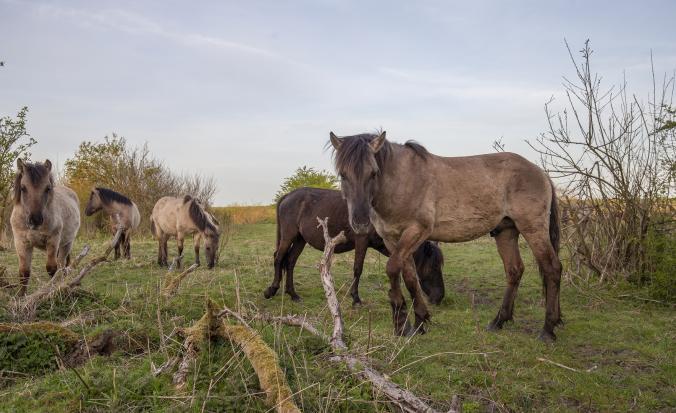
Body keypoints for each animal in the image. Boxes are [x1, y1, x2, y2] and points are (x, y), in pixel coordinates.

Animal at [10, 159, 80, 294]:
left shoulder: (53, 240)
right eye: (23, 188)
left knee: (62, 265)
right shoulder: (21, 242)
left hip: (67, 243)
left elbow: (52, 269)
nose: (35, 220)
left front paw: (51, 291)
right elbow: (24, 272)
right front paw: (21, 296)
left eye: (47, 188)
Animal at [262, 188, 446, 304]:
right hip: (289, 236)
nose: (439, 297)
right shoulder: (361, 241)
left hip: (300, 239)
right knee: (279, 258)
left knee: (290, 262)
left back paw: (293, 294)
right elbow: (358, 269)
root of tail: (288, 196)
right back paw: (272, 290)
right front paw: (356, 298)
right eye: (433, 267)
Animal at [330, 132, 564, 342]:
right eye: (343, 174)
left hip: (533, 229)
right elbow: (410, 277)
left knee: (552, 268)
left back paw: (548, 329)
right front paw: (420, 321)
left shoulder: (415, 231)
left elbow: (393, 269)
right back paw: (499, 321)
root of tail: (540, 172)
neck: (403, 181)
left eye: (373, 173)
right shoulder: (393, 239)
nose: (360, 221)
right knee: (514, 271)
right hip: (506, 232)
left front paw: (401, 323)